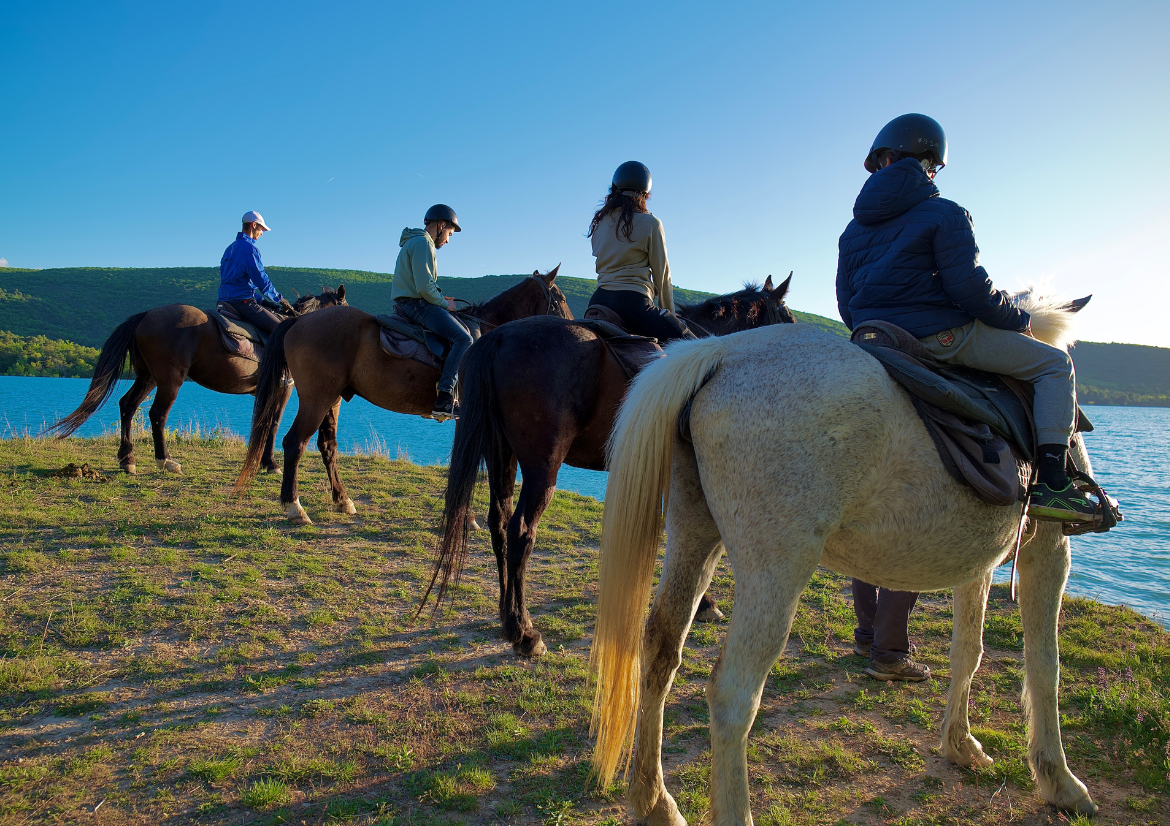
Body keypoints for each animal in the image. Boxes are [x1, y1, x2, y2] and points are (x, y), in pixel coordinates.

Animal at [46, 287, 346, 470]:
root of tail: (145, 315)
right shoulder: (283, 389)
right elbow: (271, 424)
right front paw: (270, 463)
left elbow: (261, 423)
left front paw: (261, 462)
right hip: (170, 380)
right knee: (157, 414)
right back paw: (165, 460)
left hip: (148, 377)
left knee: (127, 406)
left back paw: (127, 458)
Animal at [231, 266, 570, 524]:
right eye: (561, 299)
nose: (571, 327)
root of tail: (299, 320)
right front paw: (468, 517)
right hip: (316, 399)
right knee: (294, 443)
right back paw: (294, 507)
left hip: (332, 399)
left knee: (327, 446)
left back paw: (342, 500)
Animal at [428, 276, 795, 655]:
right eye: (788, 318)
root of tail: (499, 337)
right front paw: (703, 602)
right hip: (542, 468)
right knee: (521, 532)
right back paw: (524, 632)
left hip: (502, 455)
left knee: (499, 524)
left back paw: (508, 619)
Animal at [594, 297, 1095, 823]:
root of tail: (721, 352)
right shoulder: (1048, 549)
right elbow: (1044, 663)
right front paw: (1059, 779)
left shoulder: (976, 566)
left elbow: (968, 650)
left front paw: (960, 744)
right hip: (774, 573)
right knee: (731, 696)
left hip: (694, 536)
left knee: (660, 652)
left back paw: (653, 800)